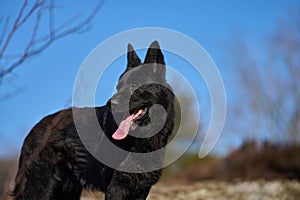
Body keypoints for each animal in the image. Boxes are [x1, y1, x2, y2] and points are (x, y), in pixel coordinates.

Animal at [10, 41, 176, 199]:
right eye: (118, 87)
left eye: (134, 85)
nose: (110, 104)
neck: (140, 141)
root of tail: (34, 129)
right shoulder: (115, 188)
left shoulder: (142, 189)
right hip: (41, 189)